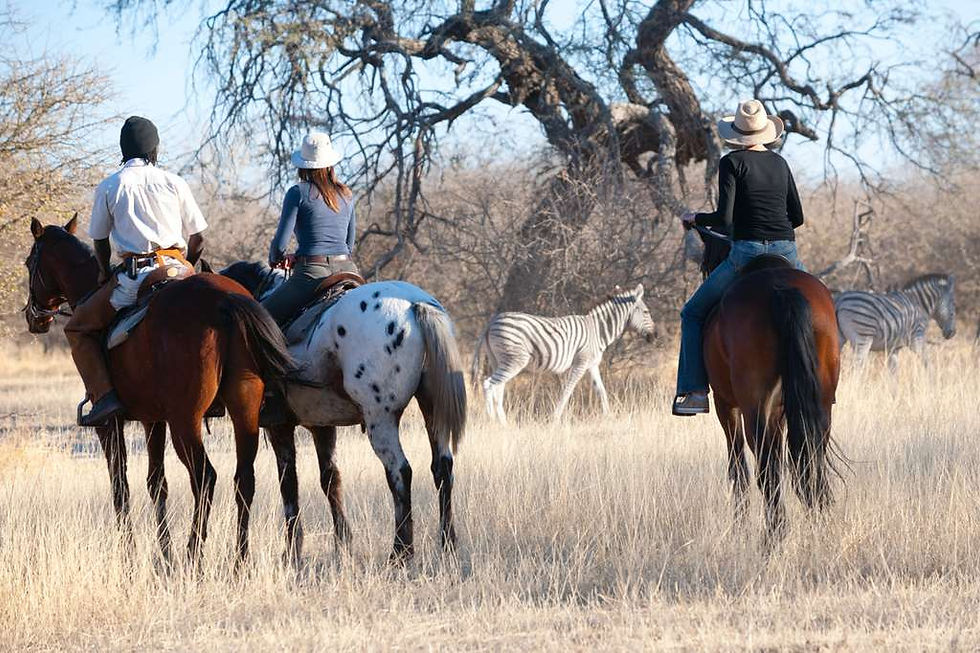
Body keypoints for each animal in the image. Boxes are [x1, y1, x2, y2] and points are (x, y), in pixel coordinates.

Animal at [472, 284, 655, 423]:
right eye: (646, 312)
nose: (655, 336)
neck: (598, 330)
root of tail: (492, 322)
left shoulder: (592, 365)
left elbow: (601, 391)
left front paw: (609, 417)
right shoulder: (580, 363)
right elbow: (567, 390)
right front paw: (555, 418)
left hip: (498, 360)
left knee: (498, 387)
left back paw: (503, 423)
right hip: (515, 360)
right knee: (488, 384)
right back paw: (492, 421)